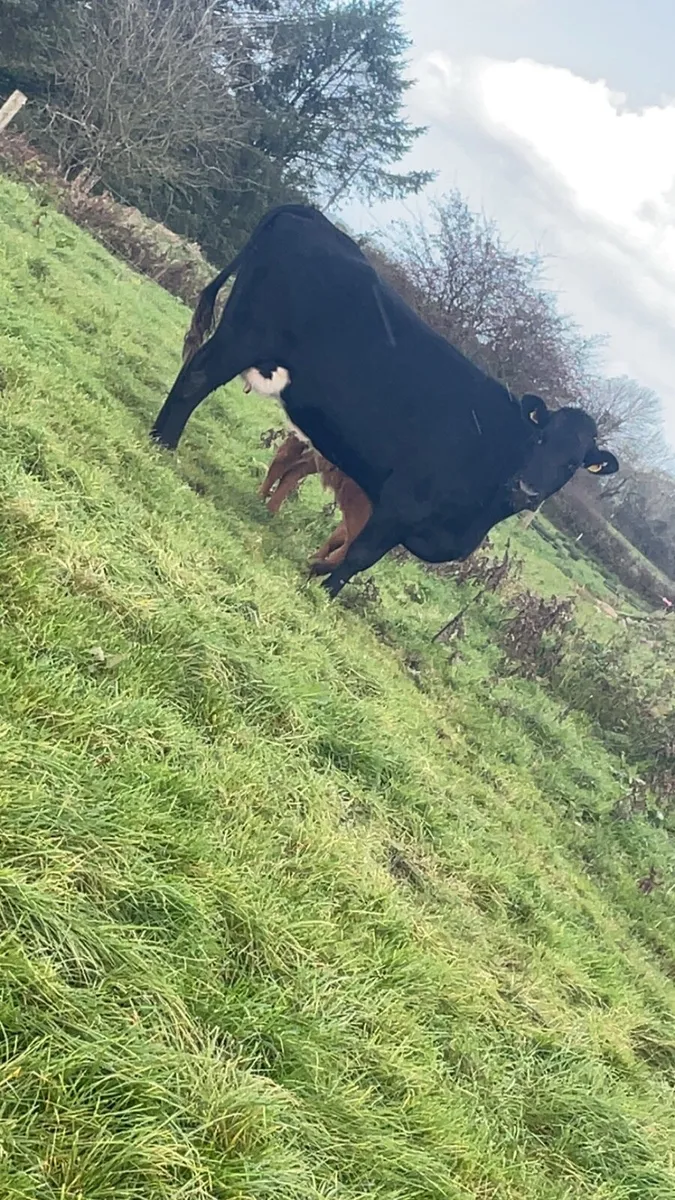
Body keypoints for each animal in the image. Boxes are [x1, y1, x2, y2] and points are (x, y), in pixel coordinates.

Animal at [151, 204, 619, 597]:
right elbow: (360, 554)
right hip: (243, 337)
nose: (528, 489)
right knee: (196, 379)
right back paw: (164, 443)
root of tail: (314, 217)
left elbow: (351, 550)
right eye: (540, 439)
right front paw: (326, 591)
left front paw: (318, 569)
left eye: (573, 464)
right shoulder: (401, 502)